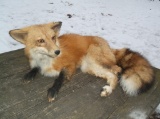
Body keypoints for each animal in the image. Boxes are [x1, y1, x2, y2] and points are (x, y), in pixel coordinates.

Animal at [9, 21, 154, 102]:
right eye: (41, 41)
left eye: (53, 37)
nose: (58, 52)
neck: (45, 61)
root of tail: (108, 45)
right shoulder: (36, 63)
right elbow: (34, 68)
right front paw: (29, 74)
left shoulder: (70, 65)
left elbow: (60, 78)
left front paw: (53, 90)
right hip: (89, 67)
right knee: (112, 75)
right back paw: (107, 90)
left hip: (94, 59)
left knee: (117, 70)